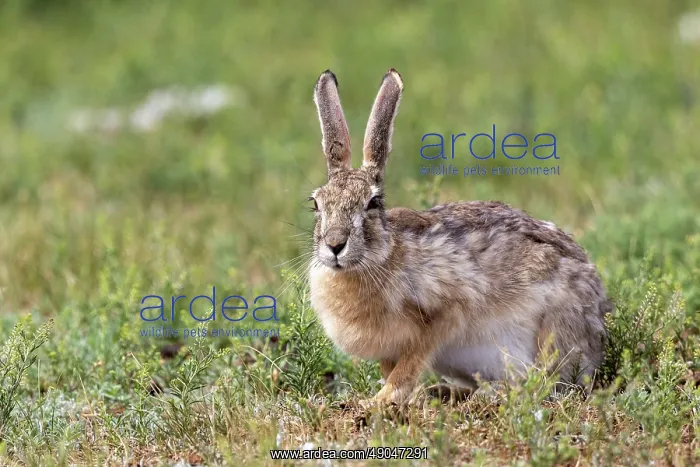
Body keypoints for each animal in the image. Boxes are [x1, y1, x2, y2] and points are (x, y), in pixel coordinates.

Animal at [307, 68, 611, 405]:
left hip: (554, 330)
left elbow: (409, 365)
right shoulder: (388, 349)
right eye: (316, 204)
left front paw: (380, 401)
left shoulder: (447, 312)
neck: (378, 257)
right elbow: (393, 368)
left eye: (372, 203)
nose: (335, 245)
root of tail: (598, 318)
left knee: (546, 384)